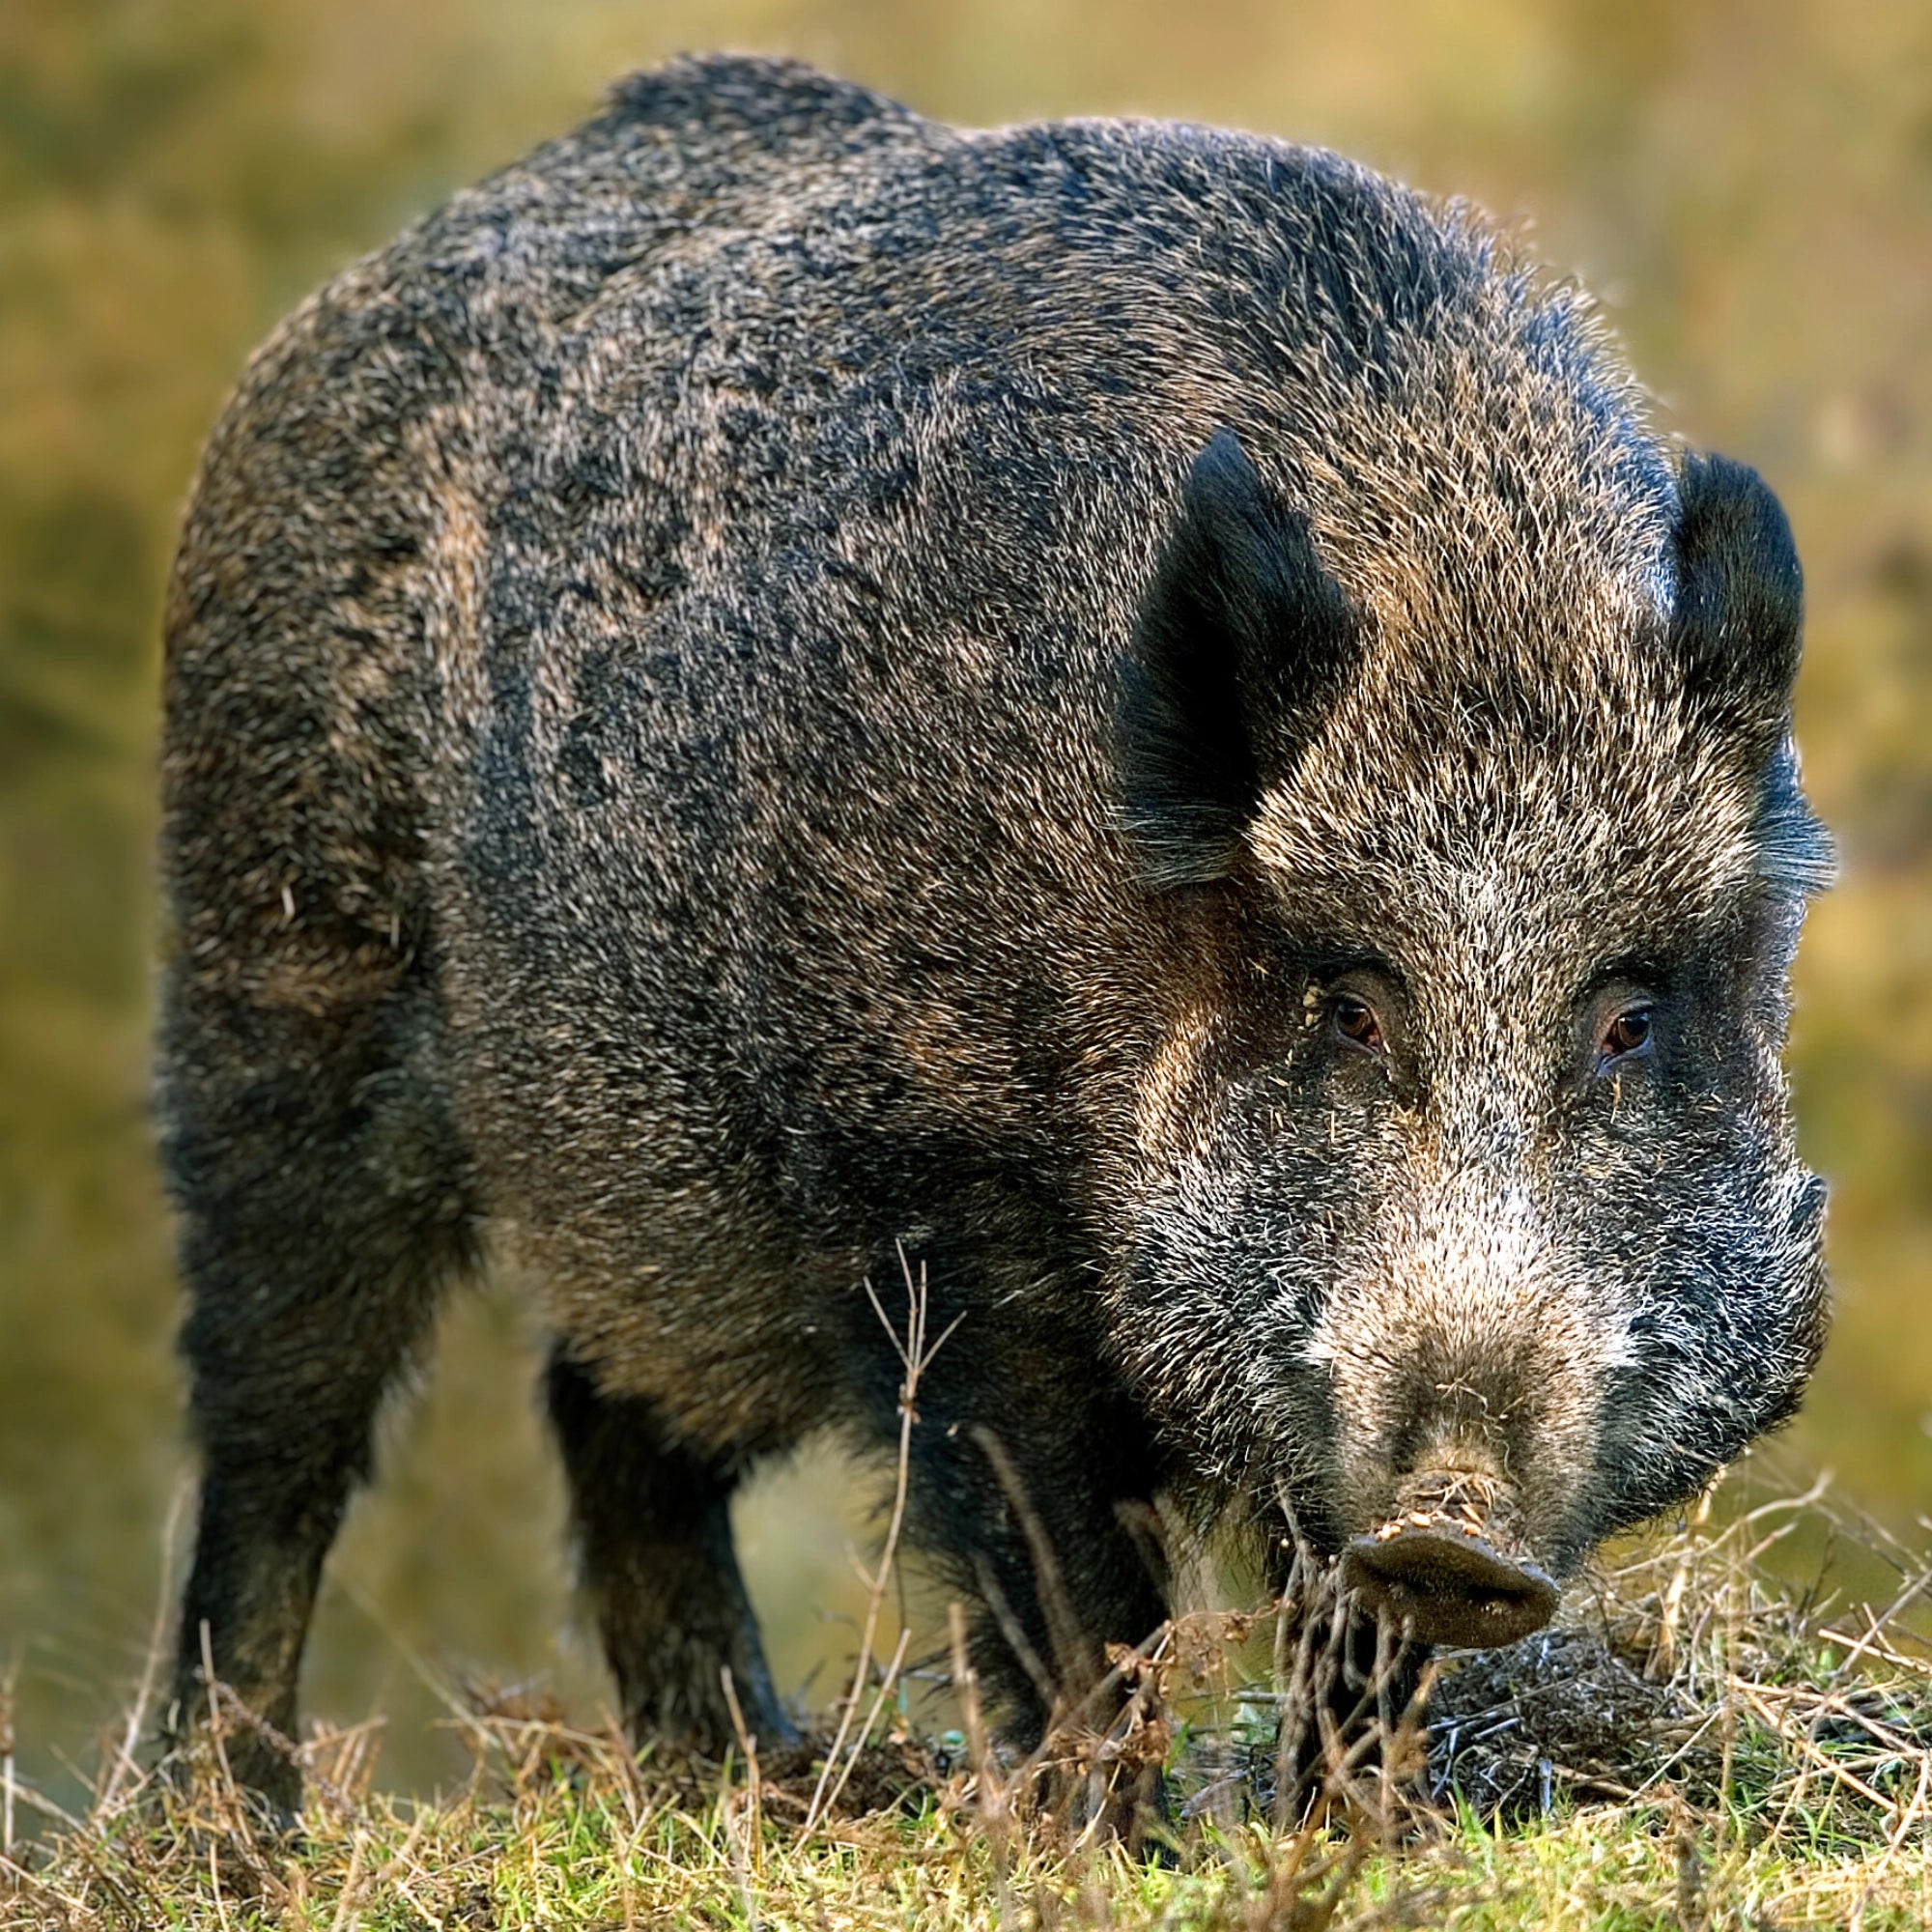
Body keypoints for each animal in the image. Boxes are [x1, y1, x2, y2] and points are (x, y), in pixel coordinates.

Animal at [156, 54, 1831, 1813]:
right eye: (1351, 1009)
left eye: (1630, 1018)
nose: (1458, 1530)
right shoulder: (930, 1196)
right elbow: (1063, 1587)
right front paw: (1110, 1833)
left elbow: (1344, 1639)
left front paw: (1351, 1831)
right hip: (278, 961)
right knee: (280, 1420)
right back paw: (228, 1830)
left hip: (659, 1183)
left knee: (602, 1404)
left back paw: (751, 1779)